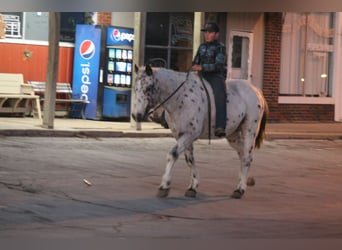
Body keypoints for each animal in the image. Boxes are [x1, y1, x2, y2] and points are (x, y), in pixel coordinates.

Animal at [132, 64, 268, 199]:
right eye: (135, 88)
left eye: (148, 88)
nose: (136, 115)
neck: (180, 97)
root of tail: (256, 90)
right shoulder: (181, 135)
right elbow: (190, 159)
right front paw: (192, 187)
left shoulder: (189, 134)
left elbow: (172, 155)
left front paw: (164, 185)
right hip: (232, 135)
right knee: (243, 154)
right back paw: (246, 180)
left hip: (249, 130)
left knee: (246, 156)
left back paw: (240, 189)